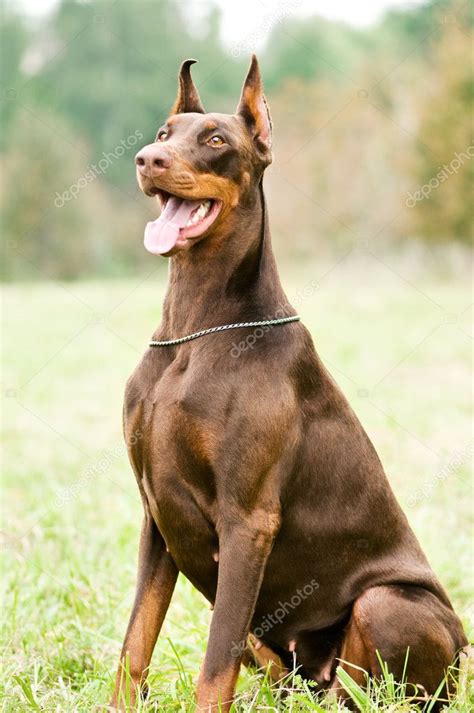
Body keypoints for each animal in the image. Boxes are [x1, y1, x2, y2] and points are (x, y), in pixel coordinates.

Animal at [110, 57, 466, 712]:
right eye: (164, 132)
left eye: (216, 140)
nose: (147, 159)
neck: (195, 331)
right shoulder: (155, 516)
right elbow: (134, 646)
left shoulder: (247, 520)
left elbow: (213, 666)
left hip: (386, 605)